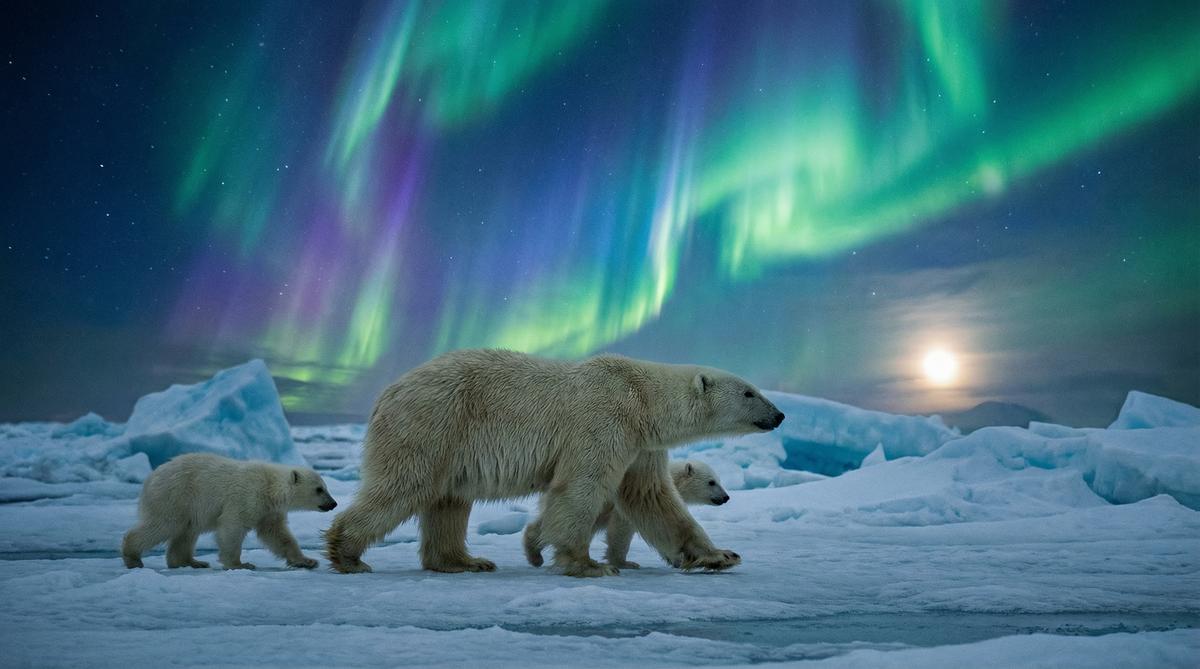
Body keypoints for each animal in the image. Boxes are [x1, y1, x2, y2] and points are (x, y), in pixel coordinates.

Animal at [121, 452, 338, 570]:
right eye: (319, 489)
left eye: (325, 487)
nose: (333, 503)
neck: (269, 486)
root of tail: (150, 477)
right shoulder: (247, 496)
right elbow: (233, 526)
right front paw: (239, 564)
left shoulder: (268, 510)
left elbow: (277, 534)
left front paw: (307, 561)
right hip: (175, 496)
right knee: (163, 525)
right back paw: (133, 558)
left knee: (186, 532)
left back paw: (192, 562)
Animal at [523, 459, 730, 569]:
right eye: (711, 482)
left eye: (719, 480)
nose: (726, 497)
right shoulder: (624, 504)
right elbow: (621, 530)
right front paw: (625, 562)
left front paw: (675, 559)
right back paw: (536, 554)